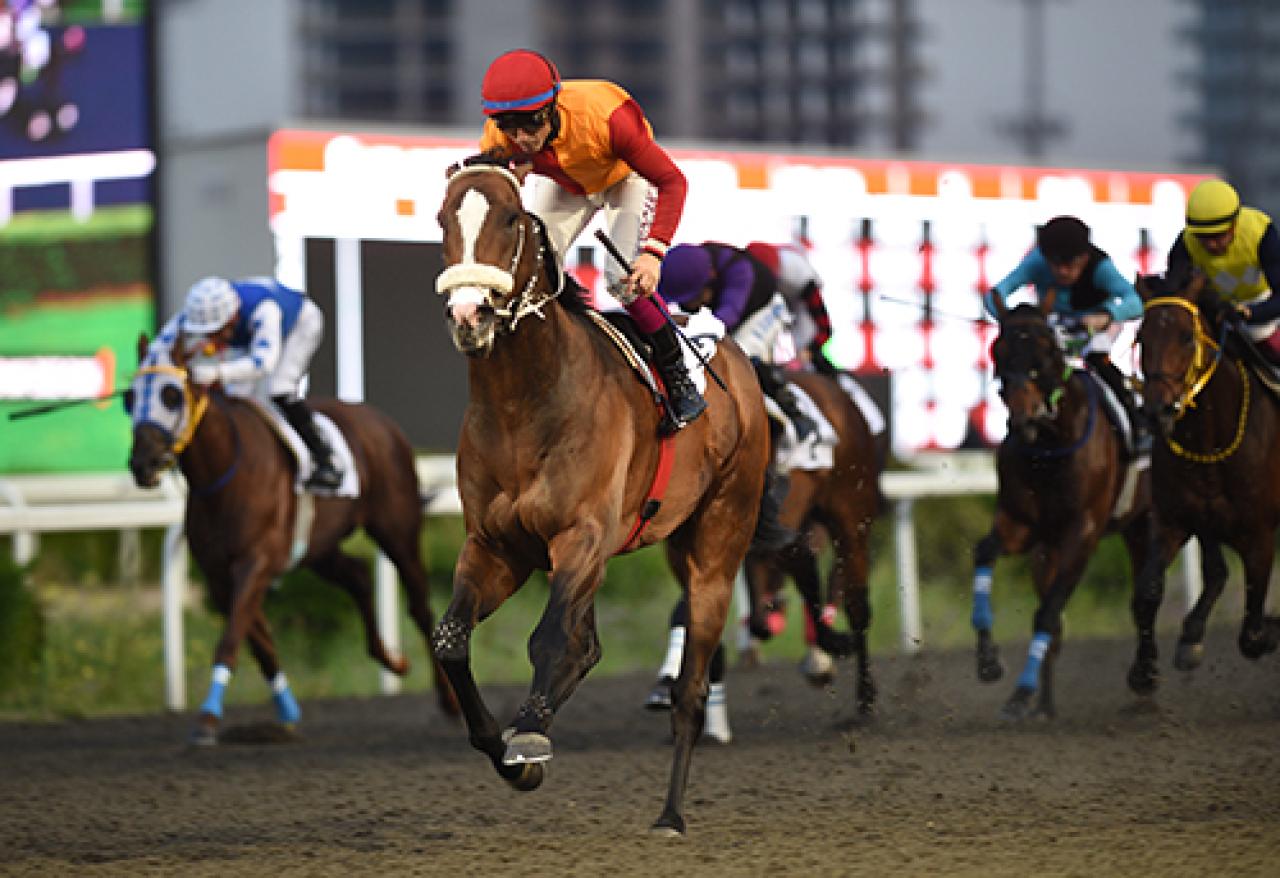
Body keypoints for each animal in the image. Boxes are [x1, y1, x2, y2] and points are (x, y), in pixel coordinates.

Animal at [124, 337, 455, 742]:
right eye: (129, 398)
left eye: (171, 395)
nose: (143, 463)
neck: (223, 475)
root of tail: (381, 421)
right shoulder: (220, 575)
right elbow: (257, 640)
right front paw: (286, 710)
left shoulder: (255, 562)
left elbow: (231, 638)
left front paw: (208, 717)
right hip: (319, 547)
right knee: (358, 575)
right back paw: (393, 660)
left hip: (398, 530)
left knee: (421, 609)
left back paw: (449, 699)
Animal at [435, 165, 768, 839]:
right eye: (442, 219)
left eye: (509, 218)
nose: (469, 312)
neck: (523, 403)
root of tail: (733, 358)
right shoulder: (496, 546)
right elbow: (452, 641)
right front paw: (508, 753)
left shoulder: (580, 537)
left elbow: (548, 639)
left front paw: (528, 738)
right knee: (588, 645)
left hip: (717, 547)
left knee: (690, 687)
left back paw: (671, 813)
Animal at [967, 295, 1152, 721]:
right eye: (998, 351)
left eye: (1048, 351)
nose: (1024, 417)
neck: (1050, 446)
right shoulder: (1023, 525)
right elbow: (985, 552)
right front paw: (989, 661)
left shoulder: (1081, 535)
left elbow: (1048, 613)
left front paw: (1022, 690)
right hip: (1046, 552)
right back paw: (1045, 704)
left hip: (1149, 523)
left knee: (1146, 597)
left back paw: (1146, 680)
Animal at [1131, 275, 1280, 696]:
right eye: (1141, 336)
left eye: (1186, 336)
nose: (1157, 411)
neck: (1210, 440)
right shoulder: (1173, 520)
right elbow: (1148, 591)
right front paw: (1145, 670)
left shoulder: (1260, 535)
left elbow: (1251, 632)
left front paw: (1269, 631)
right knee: (1215, 569)